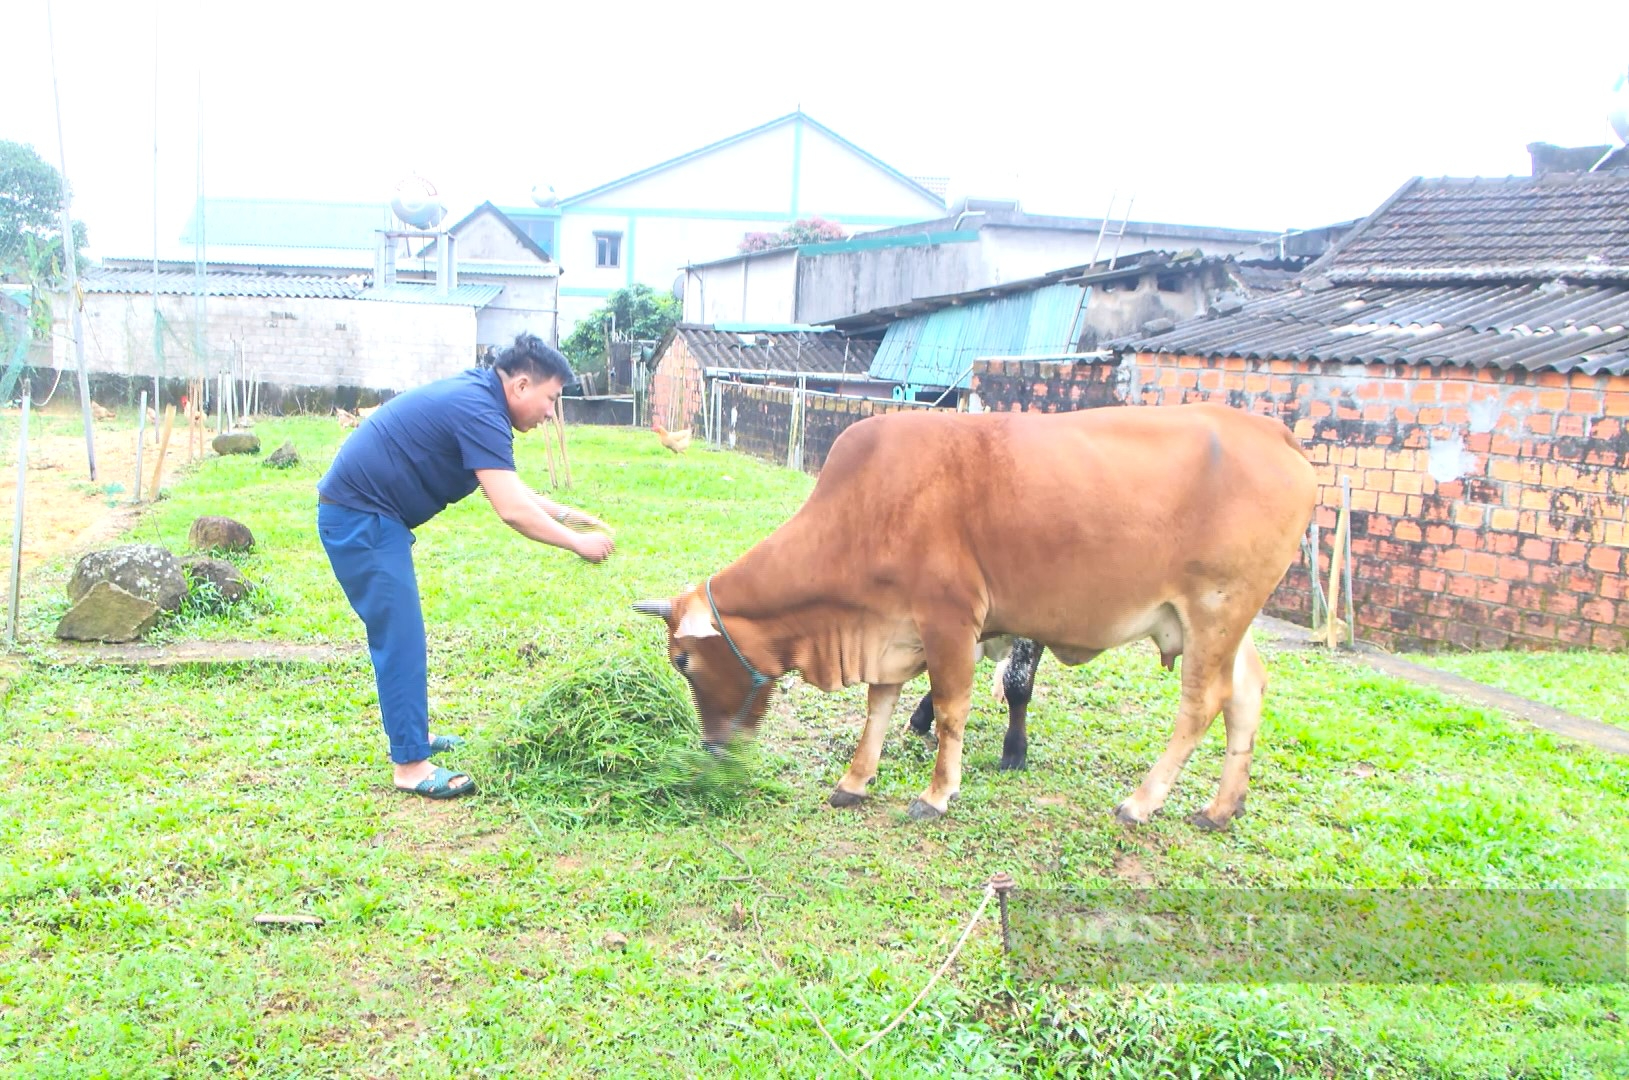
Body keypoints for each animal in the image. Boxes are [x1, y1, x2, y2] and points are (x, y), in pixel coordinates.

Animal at [628, 400, 1316, 830]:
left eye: (683, 660)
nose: (712, 747)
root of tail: (1275, 434)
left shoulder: (949, 620)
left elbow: (952, 708)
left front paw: (936, 794)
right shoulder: (892, 631)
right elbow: (877, 710)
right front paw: (855, 782)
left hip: (1215, 609)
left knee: (1202, 704)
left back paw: (1142, 802)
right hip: (1225, 621)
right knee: (1247, 692)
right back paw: (1222, 808)